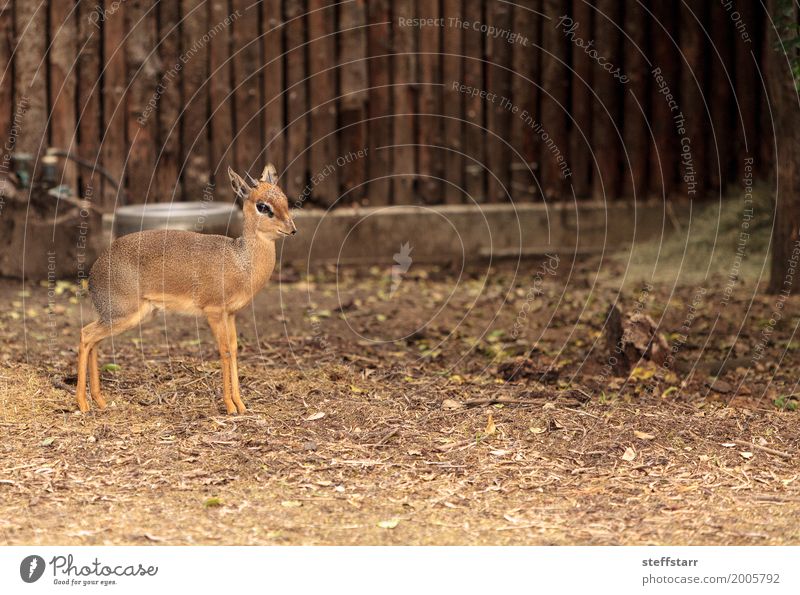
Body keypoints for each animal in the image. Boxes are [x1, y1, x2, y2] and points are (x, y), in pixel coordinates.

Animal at [76, 163, 296, 414]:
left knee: (94, 341)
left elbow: (233, 350)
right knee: (85, 335)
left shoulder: (230, 314)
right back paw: (82, 403)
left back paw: (99, 401)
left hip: (122, 316)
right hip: (123, 315)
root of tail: (93, 272)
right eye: (263, 206)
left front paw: (240, 405)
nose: (292, 229)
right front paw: (230, 407)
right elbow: (224, 350)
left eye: (285, 199)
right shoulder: (213, 311)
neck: (240, 260)